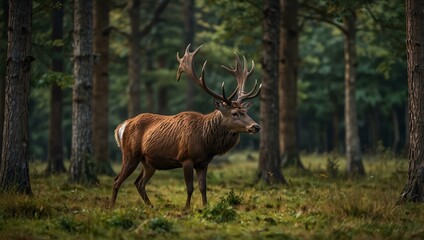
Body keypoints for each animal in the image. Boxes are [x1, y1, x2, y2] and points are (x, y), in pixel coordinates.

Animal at [111, 45, 260, 210]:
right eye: (234, 113)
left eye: (245, 111)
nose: (256, 126)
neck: (206, 141)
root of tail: (121, 127)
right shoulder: (186, 158)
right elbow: (190, 188)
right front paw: (187, 208)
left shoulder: (203, 163)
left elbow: (203, 187)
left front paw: (205, 207)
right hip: (130, 154)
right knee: (117, 180)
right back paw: (111, 206)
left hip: (149, 162)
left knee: (139, 183)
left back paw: (151, 206)